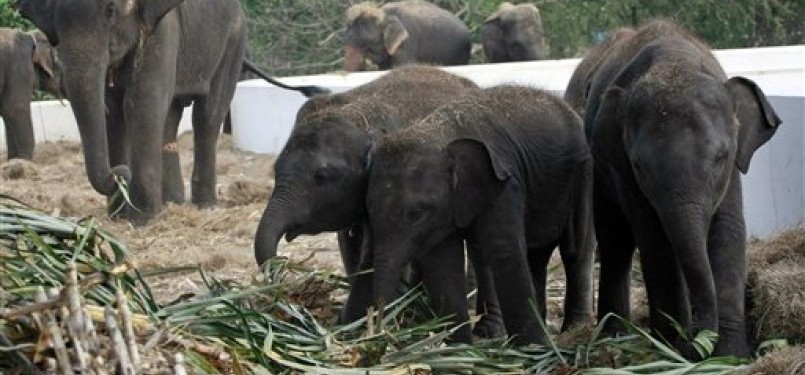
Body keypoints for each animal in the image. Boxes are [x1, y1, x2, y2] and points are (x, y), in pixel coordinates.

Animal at [0, 27, 62, 160]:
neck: (29, 34)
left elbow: (8, 112)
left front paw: (14, 161)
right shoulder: (19, 68)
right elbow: (16, 108)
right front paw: (25, 161)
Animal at [362, 85, 592, 346]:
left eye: (416, 214)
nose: (379, 333)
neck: (437, 132)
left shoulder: (505, 184)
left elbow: (504, 251)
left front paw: (534, 349)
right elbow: (442, 264)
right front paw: (459, 348)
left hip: (583, 174)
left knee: (575, 249)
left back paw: (574, 331)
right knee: (535, 254)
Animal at [576, 19, 784, 358]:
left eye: (721, 157)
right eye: (640, 166)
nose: (696, 339)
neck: (674, 62)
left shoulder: (732, 173)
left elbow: (728, 232)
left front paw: (729, 356)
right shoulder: (624, 172)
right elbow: (655, 241)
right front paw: (674, 348)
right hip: (599, 174)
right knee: (615, 241)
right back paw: (614, 336)